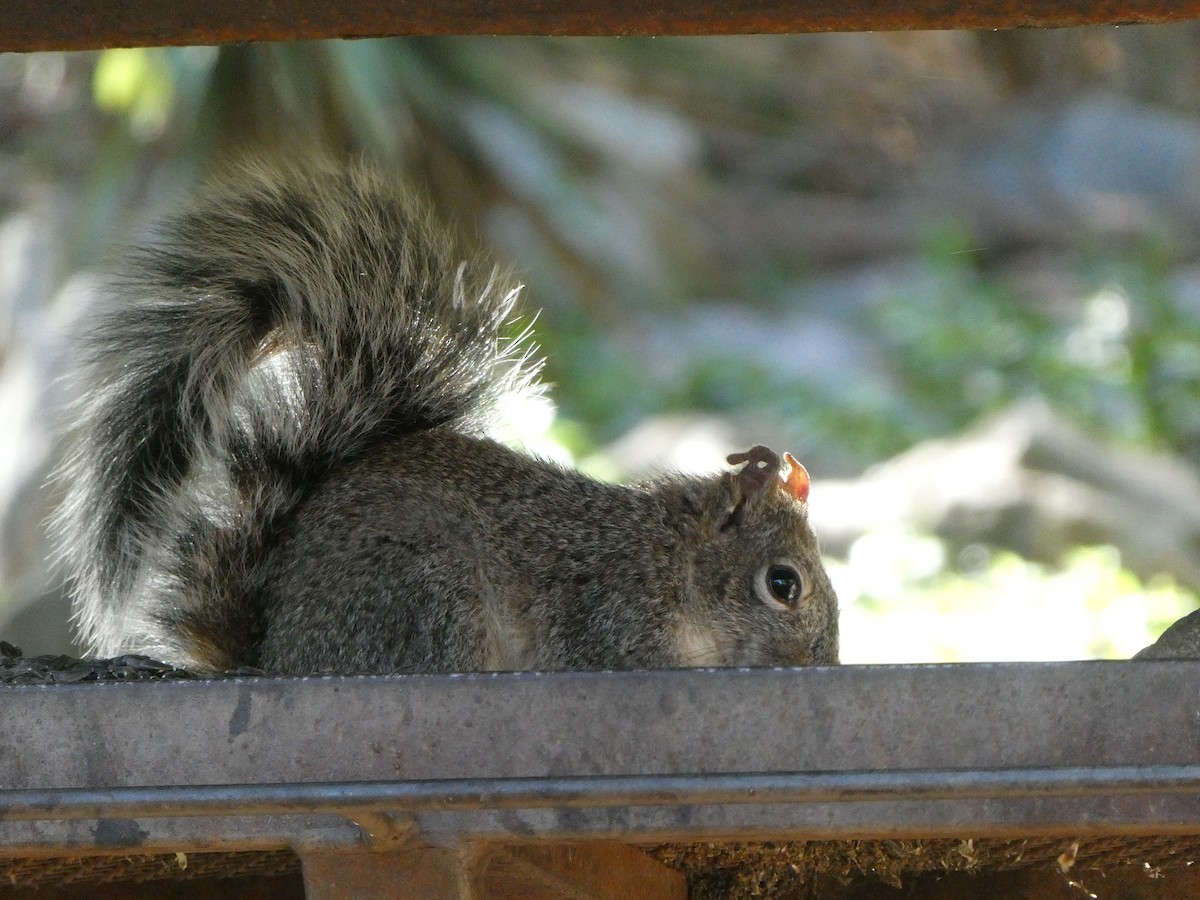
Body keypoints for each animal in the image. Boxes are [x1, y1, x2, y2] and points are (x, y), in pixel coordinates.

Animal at [52, 159, 840, 676]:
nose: (819, 663)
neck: (671, 566)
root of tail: (280, 655)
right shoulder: (610, 619)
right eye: (783, 585)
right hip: (429, 591)